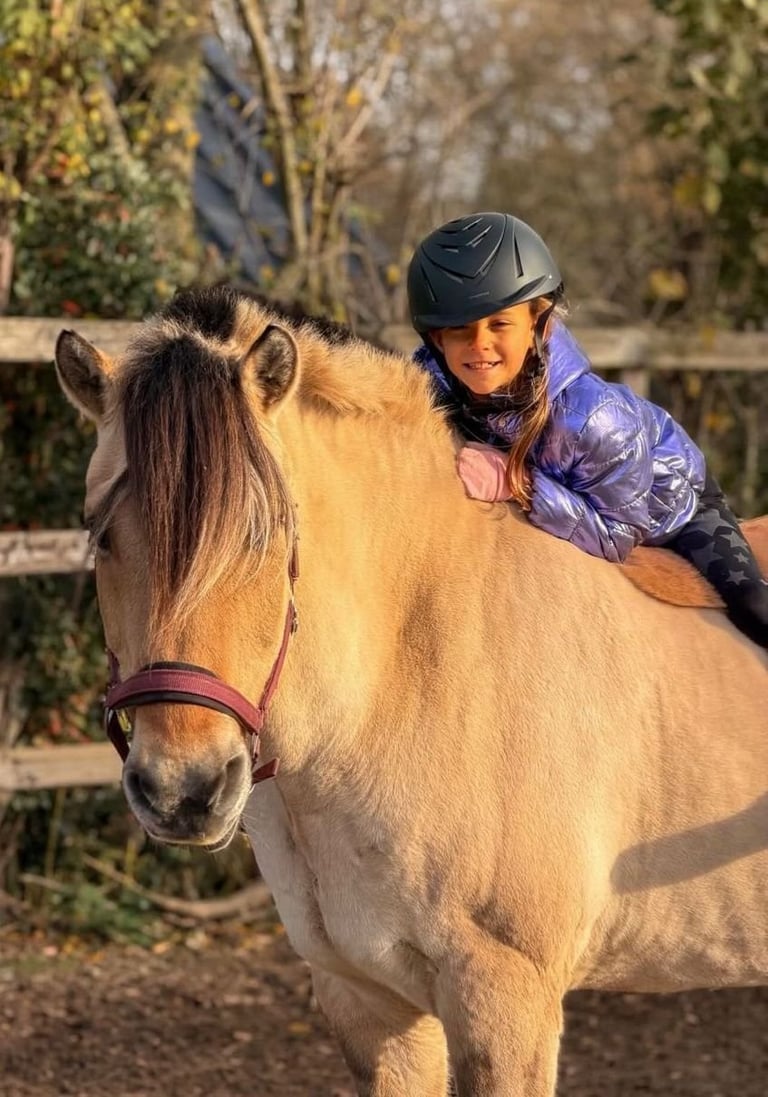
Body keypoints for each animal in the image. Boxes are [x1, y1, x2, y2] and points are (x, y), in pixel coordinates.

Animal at [54, 286, 767, 1096]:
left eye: (263, 534)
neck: (401, 679)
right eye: (102, 535)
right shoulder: (368, 999)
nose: (182, 789)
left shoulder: (506, 1002)